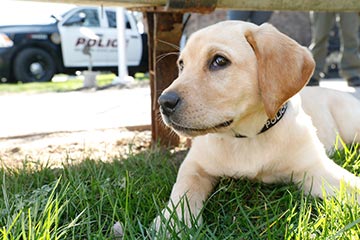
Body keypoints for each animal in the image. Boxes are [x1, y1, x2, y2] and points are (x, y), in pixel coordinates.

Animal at [155, 20, 360, 229]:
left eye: (219, 61)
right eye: (181, 65)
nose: (164, 102)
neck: (246, 137)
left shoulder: (315, 167)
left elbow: (352, 186)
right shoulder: (194, 165)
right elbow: (184, 189)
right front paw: (173, 223)